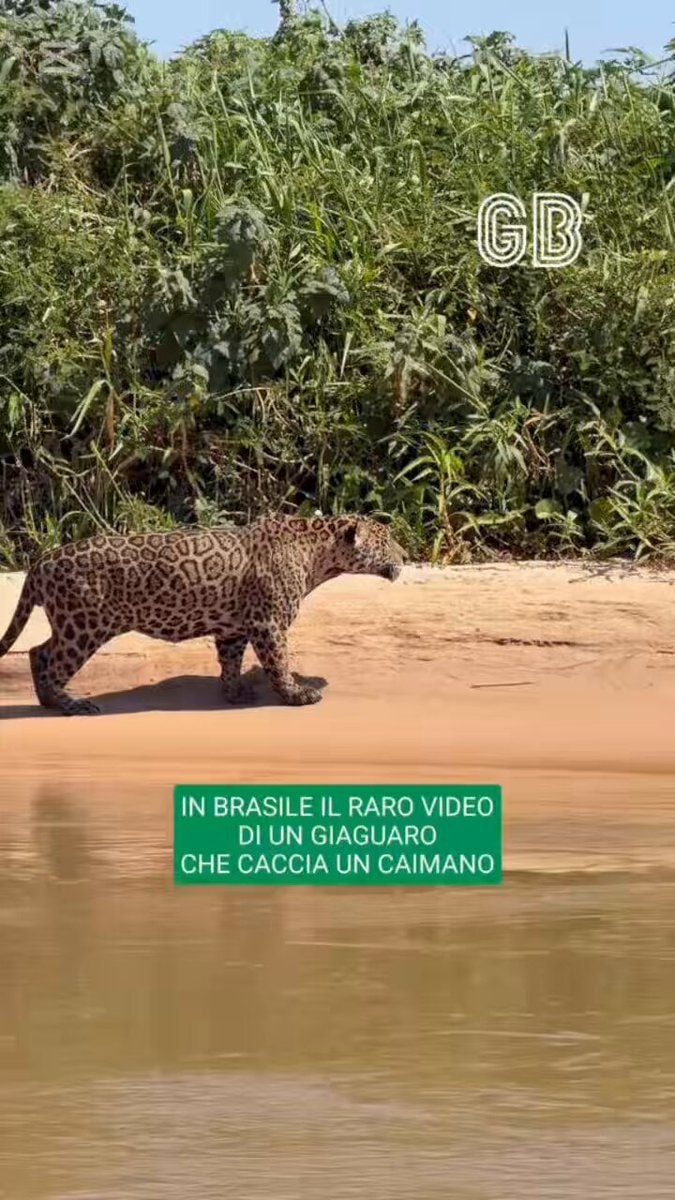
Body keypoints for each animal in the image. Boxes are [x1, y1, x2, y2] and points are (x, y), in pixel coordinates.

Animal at [0, 514, 405, 716]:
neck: (318, 554)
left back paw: (49, 701)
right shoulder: (269, 623)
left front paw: (235, 692)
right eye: (386, 541)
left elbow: (230, 662)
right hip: (83, 626)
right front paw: (296, 694)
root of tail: (42, 561)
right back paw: (72, 705)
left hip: (71, 624)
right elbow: (279, 661)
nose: (404, 555)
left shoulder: (234, 627)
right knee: (53, 660)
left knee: (38, 652)